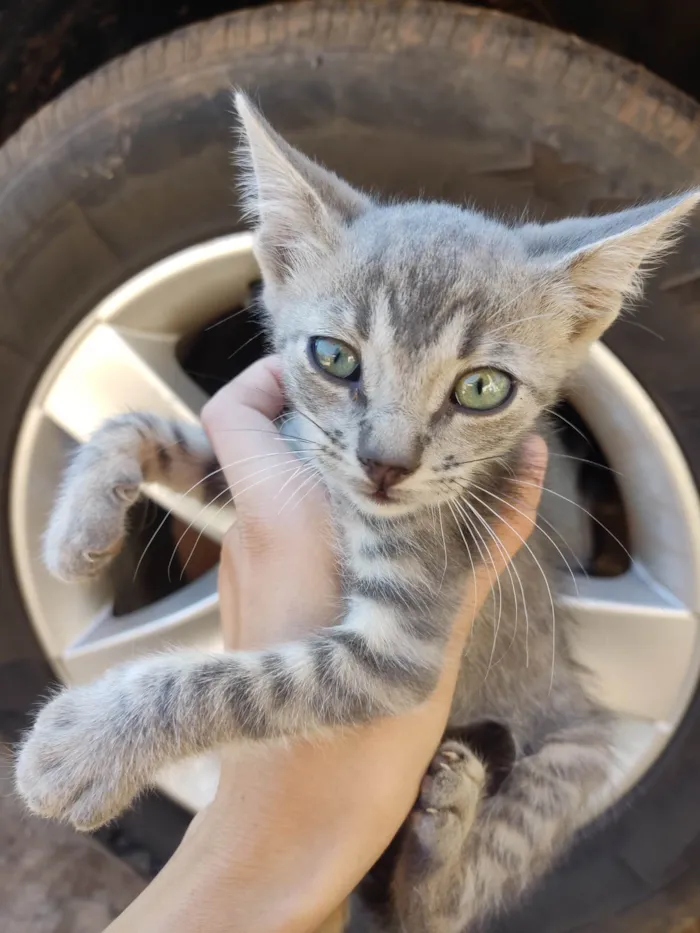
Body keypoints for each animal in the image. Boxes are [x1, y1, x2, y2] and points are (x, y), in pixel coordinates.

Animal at [16, 96, 700, 932]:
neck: (346, 501)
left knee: (434, 911)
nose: (386, 462)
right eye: (334, 357)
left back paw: (443, 831)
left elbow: (235, 682)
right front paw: (76, 531)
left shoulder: (398, 648)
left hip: (574, 756)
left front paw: (84, 745)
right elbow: (146, 429)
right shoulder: (285, 457)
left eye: (483, 388)